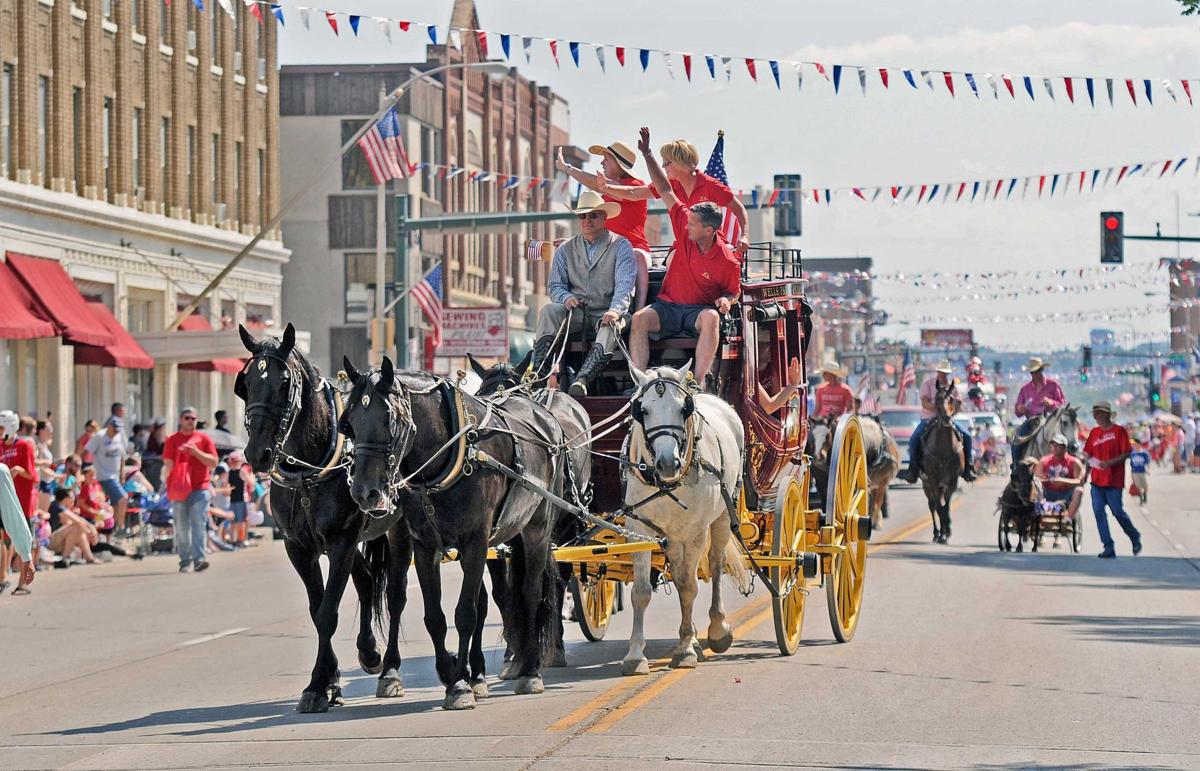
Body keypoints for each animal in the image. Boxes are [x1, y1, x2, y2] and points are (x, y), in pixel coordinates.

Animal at [234, 321, 412, 710]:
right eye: (246, 383)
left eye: (284, 383)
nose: (257, 453)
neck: (309, 470)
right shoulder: (300, 547)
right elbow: (317, 610)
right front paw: (327, 682)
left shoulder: (341, 541)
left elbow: (329, 612)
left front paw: (319, 683)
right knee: (366, 580)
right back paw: (369, 652)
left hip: (400, 532)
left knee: (395, 594)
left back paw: (390, 669)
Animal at [338, 357, 561, 710]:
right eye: (347, 424)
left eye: (389, 419)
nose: (364, 493)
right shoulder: (425, 545)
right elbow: (435, 617)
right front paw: (452, 673)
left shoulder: (476, 542)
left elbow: (467, 612)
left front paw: (459, 685)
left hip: (538, 528)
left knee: (529, 592)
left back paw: (529, 669)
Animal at [465, 350, 592, 667]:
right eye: (481, 393)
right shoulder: (494, 538)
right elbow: (502, 592)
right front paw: (514, 647)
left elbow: (546, 581)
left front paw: (541, 645)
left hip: (566, 526)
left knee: (561, 578)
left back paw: (555, 645)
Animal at [624, 362, 744, 672]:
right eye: (642, 410)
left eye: (683, 409)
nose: (669, 463)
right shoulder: (638, 528)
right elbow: (641, 591)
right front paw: (635, 654)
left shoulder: (695, 532)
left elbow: (690, 587)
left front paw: (686, 650)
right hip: (674, 536)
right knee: (679, 575)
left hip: (722, 516)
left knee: (715, 564)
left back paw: (716, 629)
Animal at [916, 381, 964, 540]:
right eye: (937, 400)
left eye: (952, 399)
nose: (947, 418)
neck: (943, 448)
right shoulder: (932, 479)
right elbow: (938, 506)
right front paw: (942, 533)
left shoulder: (953, 479)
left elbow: (946, 505)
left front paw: (947, 531)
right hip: (927, 484)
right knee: (932, 505)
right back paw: (936, 532)